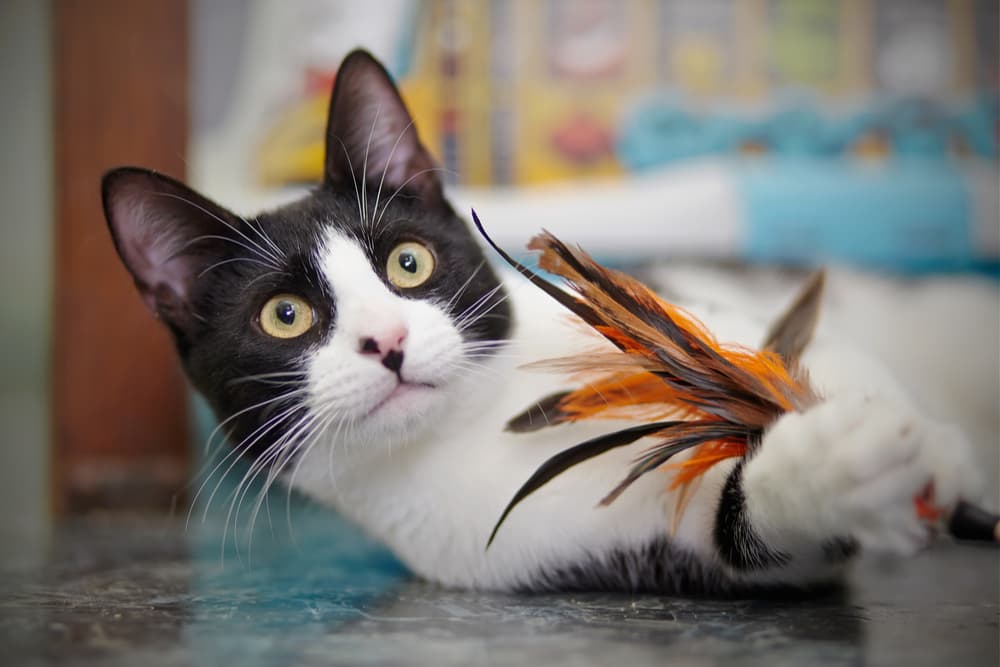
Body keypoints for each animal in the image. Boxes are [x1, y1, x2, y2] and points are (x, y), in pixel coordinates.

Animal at [101, 49, 984, 596]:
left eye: (408, 262)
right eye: (285, 315)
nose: (387, 343)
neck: (475, 430)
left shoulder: (689, 313)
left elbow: (796, 356)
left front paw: (900, 439)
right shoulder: (538, 549)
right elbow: (764, 545)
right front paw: (843, 465)